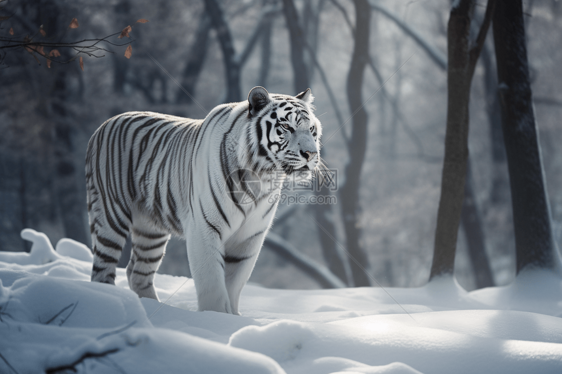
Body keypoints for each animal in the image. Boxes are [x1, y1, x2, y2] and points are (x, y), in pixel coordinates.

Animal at [83, 86, 320, 314]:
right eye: (286, 127)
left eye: (311, 130)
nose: (310, 154)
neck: (262, 176)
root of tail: (104, 125)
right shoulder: (204, 228)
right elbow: (212, 283)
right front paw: (215, 318)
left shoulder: (250, 236)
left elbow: (233, 284)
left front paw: (231, 319)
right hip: (111, 216)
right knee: (102, 270)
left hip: (150, 229)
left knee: (137, 271)